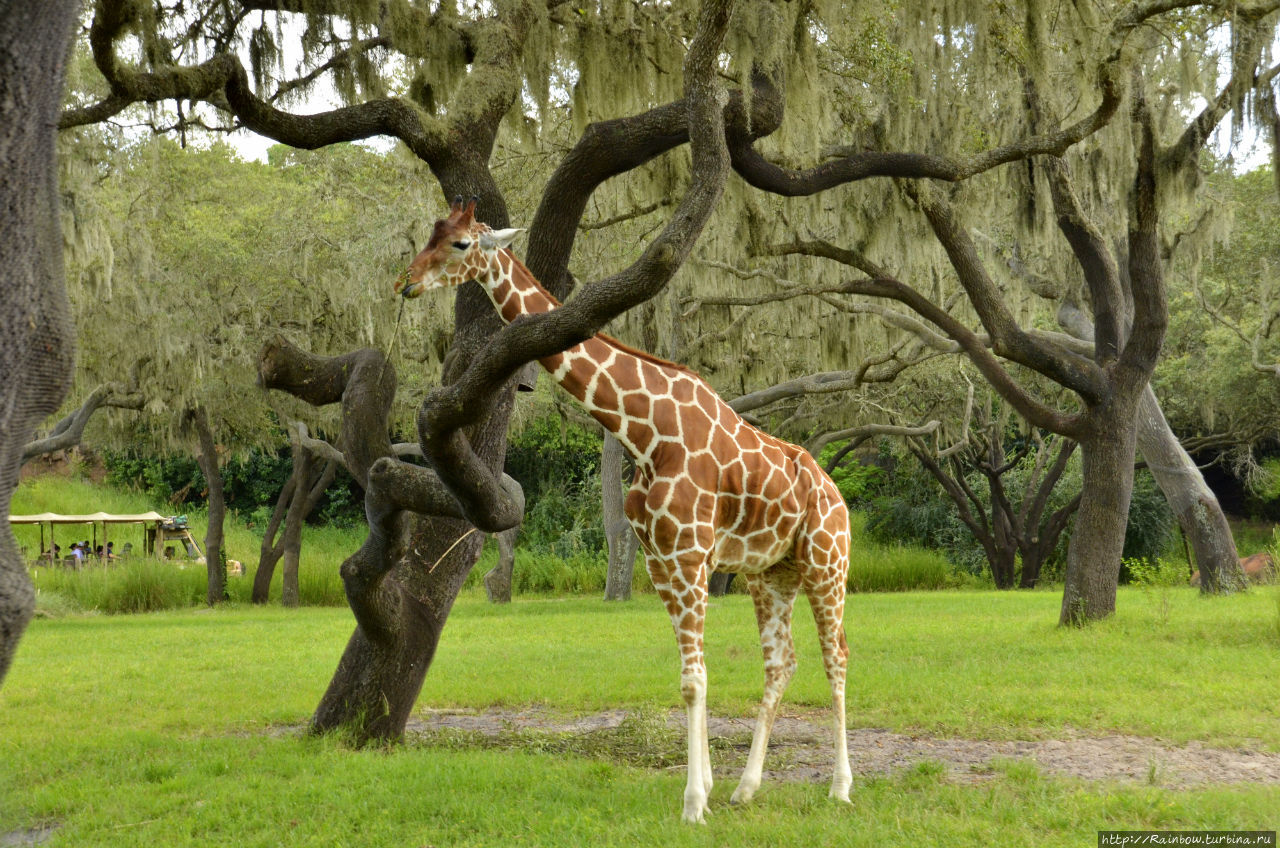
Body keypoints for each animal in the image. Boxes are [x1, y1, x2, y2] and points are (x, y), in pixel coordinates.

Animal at [399, 199, 849, 824]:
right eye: (432, 234)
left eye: (461, 243)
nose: (407, 282)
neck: (643, 432)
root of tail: (836, 494)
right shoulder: (661, 561)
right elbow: (689, 676)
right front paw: (708, 789)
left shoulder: (689, 555)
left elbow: (694, 679)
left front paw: (693, 804)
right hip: (771, 574)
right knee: (781, 663)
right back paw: (747, 788)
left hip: (828, 564)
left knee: (837, 658)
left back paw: (840, 788)